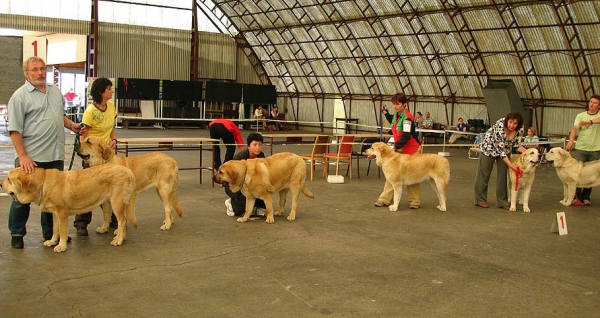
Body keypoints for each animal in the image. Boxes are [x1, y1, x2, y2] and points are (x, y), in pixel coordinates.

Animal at [0, 165, 137, 252]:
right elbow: (55, 229)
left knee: (122, 221)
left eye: (9, 179)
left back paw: (119, 240)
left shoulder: (62, 213)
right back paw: (120, 237)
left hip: (116, 202)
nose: (1, 184)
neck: (43, 183)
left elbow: (62, 231)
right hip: (108, 203)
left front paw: (61, 246)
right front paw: (52, 241)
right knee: (118, 220)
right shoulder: (55, 214)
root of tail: (128, 170)